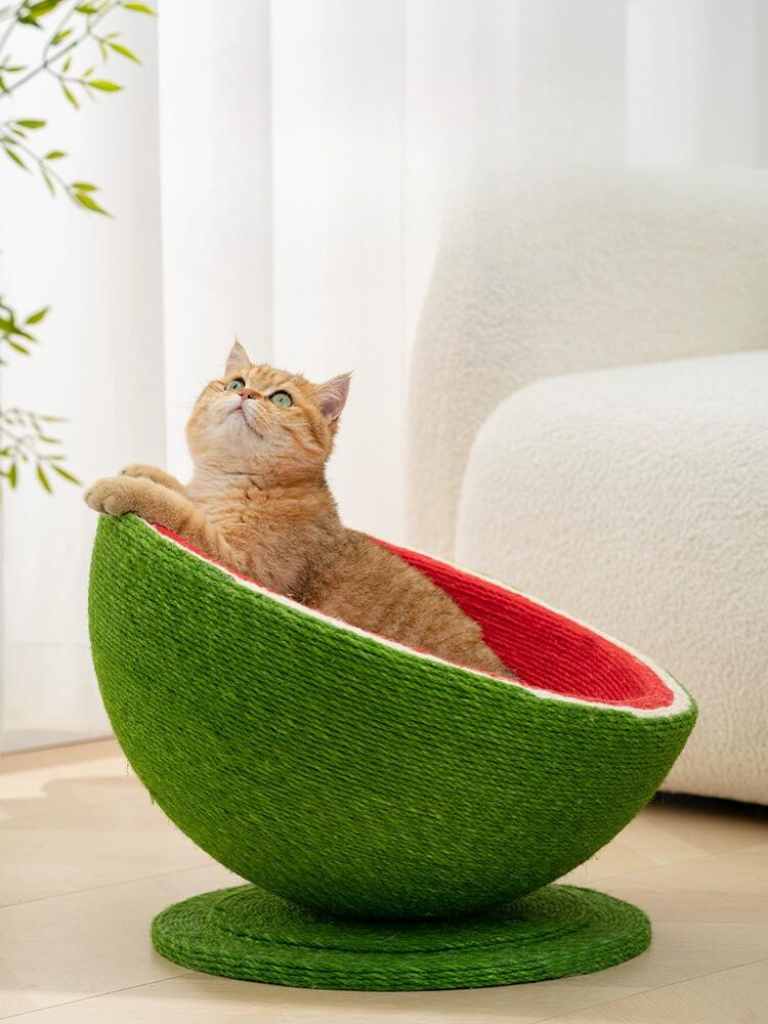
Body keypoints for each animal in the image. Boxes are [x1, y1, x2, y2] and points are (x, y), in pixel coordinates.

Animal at [85, 342, 512, 679]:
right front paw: (145, 471)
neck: (235, 482)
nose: (246, 394)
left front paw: (120, 487)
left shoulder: (247, 565)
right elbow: (184, 493)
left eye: (281, 399)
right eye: (236, 383)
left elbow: (180, 510)